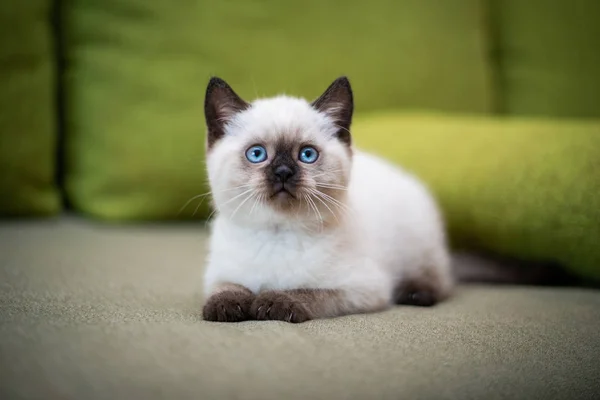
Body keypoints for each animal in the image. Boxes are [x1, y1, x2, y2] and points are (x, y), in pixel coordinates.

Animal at [199, 76, 452, 324]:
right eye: (257, 154)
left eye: (307, 155)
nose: (283, 172)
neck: (278, 232)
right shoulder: (220, 274)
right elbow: (226, 288)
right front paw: (226, 307)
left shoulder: (361, 288)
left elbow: (309, 292)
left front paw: (273, 302)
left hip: (419, 247)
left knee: (439, 280)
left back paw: (415, 293)